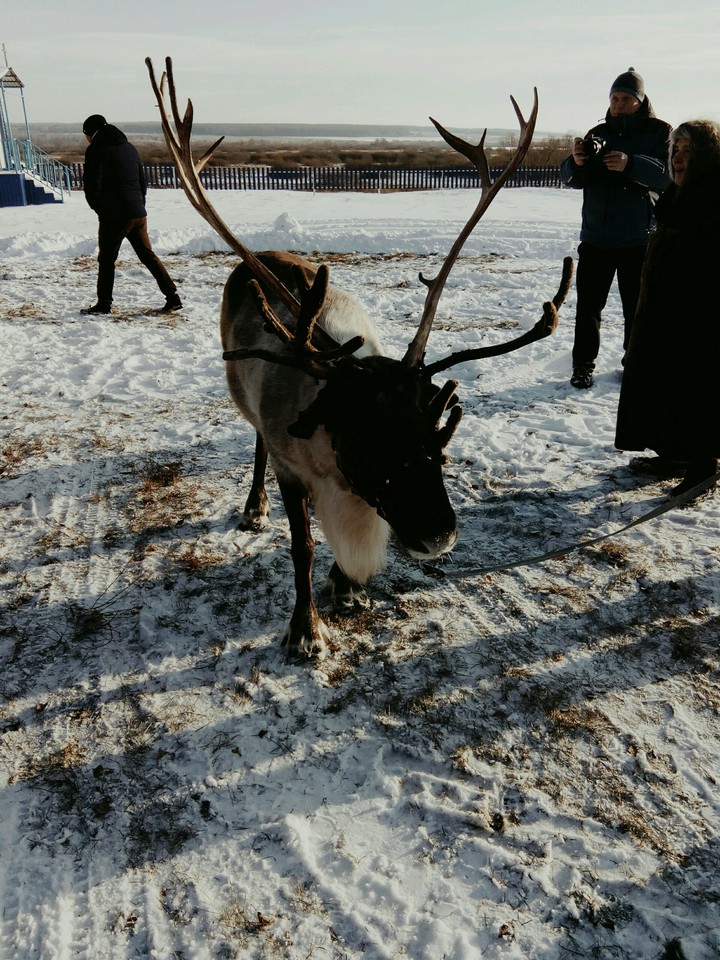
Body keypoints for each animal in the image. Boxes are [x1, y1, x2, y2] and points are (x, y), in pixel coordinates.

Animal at [146, 57, 573, 660]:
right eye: (367, 437)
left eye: (435, 432)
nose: (440, 535)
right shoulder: (294, 468)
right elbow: (301, 546)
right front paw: (306, 628)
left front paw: (345, 585)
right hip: (243, 398)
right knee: (255, 440)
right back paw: (253, 507)